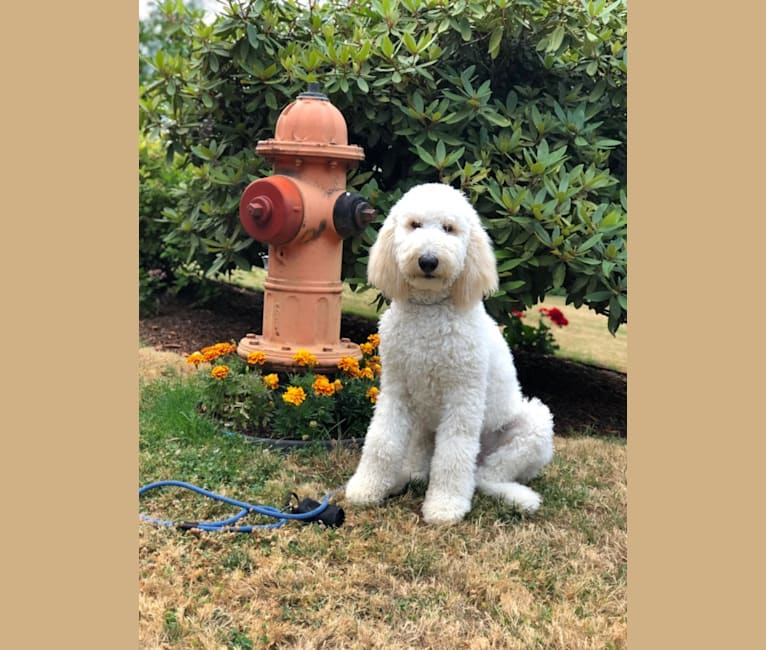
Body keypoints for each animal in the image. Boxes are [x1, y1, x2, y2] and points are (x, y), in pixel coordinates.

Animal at [344, 181, 556, 520]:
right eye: (414, 225)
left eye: (449, 229)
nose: (428, 261)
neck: (430, 311)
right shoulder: (396, 389)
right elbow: (382, 440)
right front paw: (367, 487)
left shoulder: (462, 397)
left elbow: (453, 454)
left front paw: (445, 506)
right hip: (423, 423)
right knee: (424, 462)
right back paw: (404, 477)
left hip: (532, 425)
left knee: (484, 476)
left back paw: (516, 496)